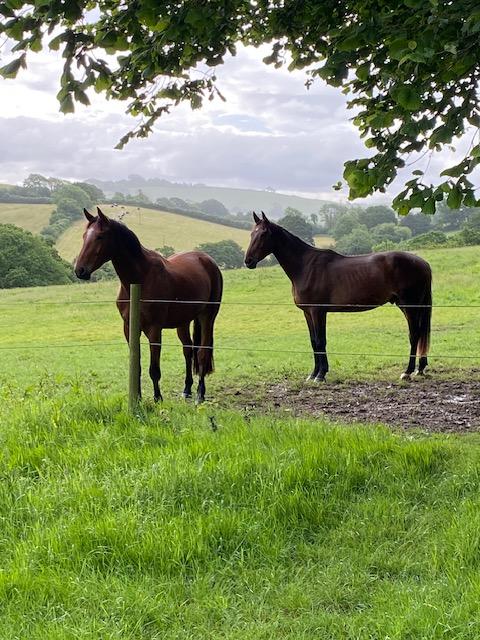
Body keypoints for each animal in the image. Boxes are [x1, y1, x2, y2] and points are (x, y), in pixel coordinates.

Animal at [75, 207, 223, 403]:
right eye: (84, 236)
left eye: (100, 236)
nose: (80, 270)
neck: (140, 279)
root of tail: (206, 259)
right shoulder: (130, 329)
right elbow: (136, 366)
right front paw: (137, 398)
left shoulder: (154, 329)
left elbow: (154, 369)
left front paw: (157, 398)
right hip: (183, 322)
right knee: (188, 350)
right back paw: (187, 389)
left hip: (207, 316)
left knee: (202, 353)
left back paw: (200, 394)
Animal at [244, 212, 432, 382]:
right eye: (252, 234)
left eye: (263, 234)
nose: (248, 261)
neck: (306, 266)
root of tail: (423, 263)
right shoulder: (308, 313)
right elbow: (313, 341)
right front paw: (313, 374)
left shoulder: (318, 312)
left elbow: (321, 341)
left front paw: (320, 375)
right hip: (407, 306)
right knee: (418, 334)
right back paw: (420, 369)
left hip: (410, 306)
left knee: (414, 335)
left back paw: (407, 372)